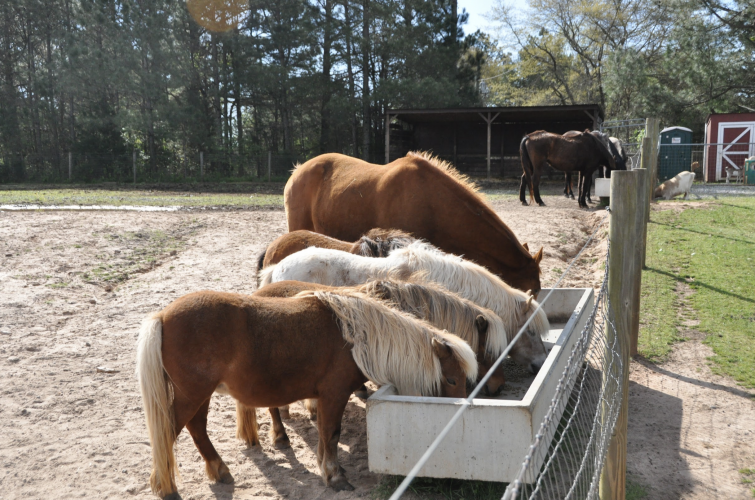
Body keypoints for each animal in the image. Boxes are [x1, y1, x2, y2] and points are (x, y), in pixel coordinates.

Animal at [136, 289, 477, 497]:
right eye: (451, 379)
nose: (456, 413)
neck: (355, 337)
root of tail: (162, 317)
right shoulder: (334, 395)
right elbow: (331, 433)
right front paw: (334, 476)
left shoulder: (328, 397)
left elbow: (327, 434)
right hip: (192, 395)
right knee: (170, 432)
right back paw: (167, 487)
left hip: (199, 396)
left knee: (197, 429)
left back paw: (219, 470)